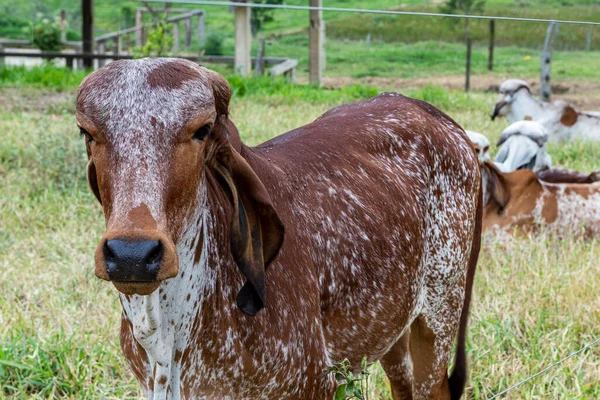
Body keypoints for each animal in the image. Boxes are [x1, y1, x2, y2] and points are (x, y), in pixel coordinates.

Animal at [76, 58, 482, 400]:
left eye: (202, 130)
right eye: (87, 133)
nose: (131, 255)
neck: (168, 334)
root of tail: (435, 115)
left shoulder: (315, 385)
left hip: (439, 316)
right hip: (391, 328)